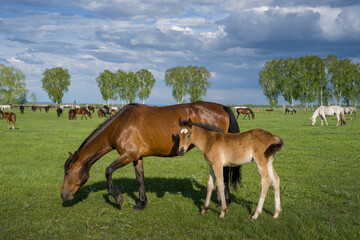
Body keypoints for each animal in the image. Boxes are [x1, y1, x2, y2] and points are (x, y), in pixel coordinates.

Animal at [61, 101, 242, 210]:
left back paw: (223, 202)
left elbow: (108, 171)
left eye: (67, 172)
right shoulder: (136, 157)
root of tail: (222, 107)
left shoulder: (128, 155)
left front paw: (117, 197)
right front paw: (141, 203)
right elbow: (140, 178)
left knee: (223, 172)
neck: (121, 124)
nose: (63, 195)